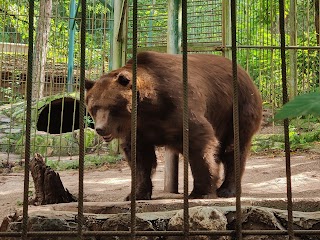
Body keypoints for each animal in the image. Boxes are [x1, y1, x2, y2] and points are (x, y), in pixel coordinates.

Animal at [85, 51, 262, 201]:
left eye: (112, 107)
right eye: (94, 107)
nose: (100, 128)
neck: (149, 107)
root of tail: (244, 72)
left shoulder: (179, 107)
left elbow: (200, 143)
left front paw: (201, 192)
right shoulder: (138, 129)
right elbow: (140, 159)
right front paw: (135, 194)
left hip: (236, 109)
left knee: (233, 149)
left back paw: (227, 189)